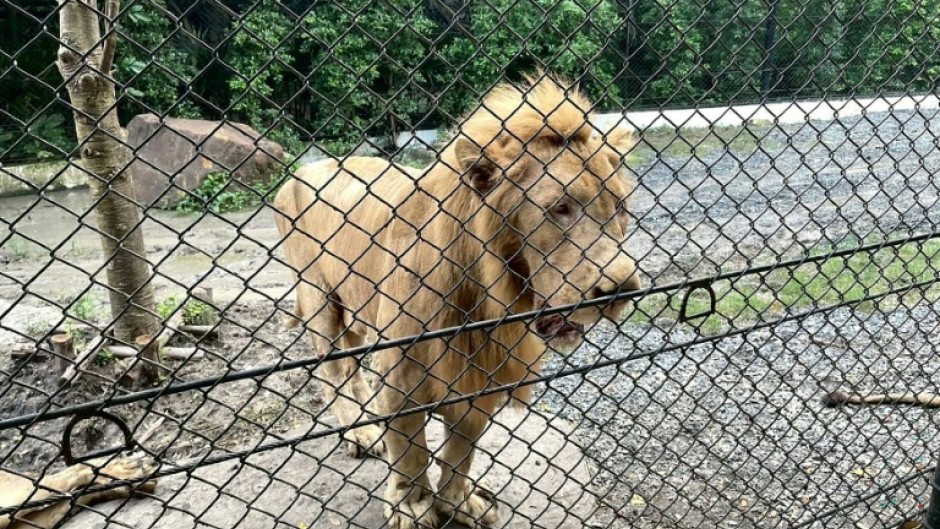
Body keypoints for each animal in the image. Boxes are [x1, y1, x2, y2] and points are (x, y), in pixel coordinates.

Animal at [273, 73, 642, 529]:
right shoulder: (401, 375)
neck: (486, 298)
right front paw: (412, 507)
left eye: (620, 207)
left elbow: (461, 449)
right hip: (317, 296)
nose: (623, 288)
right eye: (560, 208)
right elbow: (410, 451)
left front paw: (458, 502)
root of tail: (300, 170)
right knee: (335, 371)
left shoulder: (479, 371)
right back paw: (361, 431)